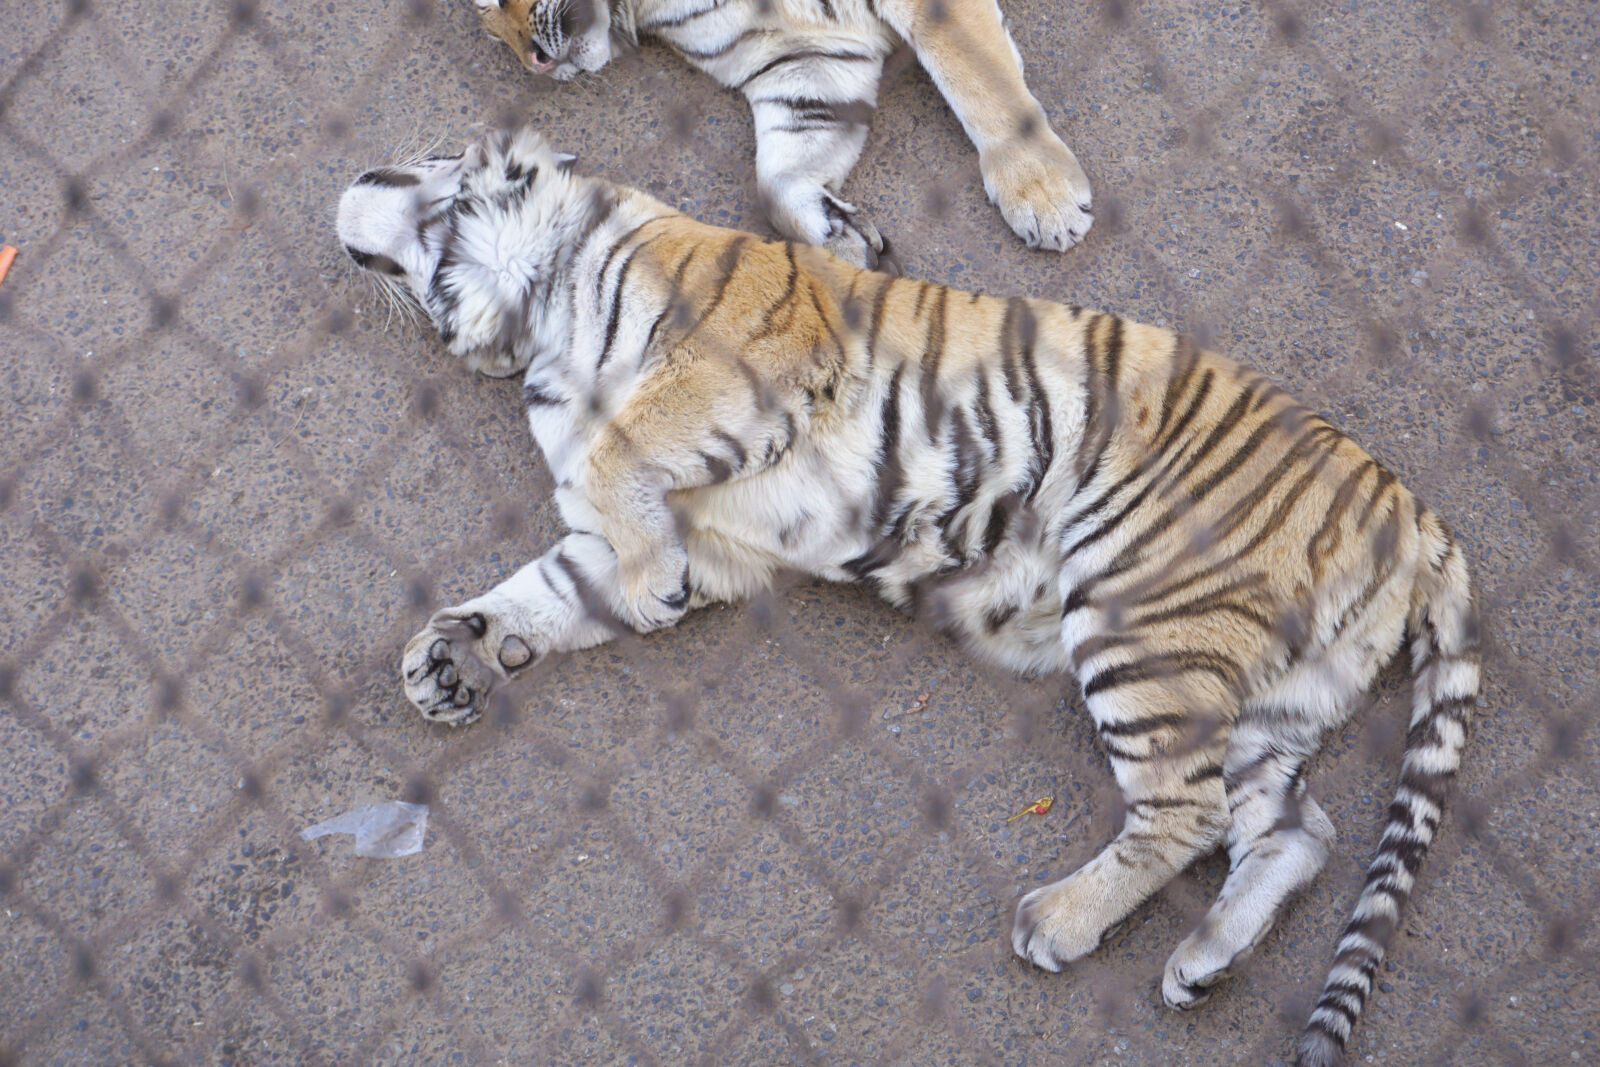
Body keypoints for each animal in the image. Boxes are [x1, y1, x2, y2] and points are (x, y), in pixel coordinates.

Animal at [335, 127, 1481, 1067]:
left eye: (426, 158)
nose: (348, 180)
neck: (535, 324)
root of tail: (1404, 501)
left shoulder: (739, 364)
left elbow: (626, 446)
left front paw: (631, 586)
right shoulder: (703, 540)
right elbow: (553, 585)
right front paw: (450, 656)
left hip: (1144, 616)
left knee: (1189, 812)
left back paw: (1057, 921)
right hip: (1248, 689)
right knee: (1296, 829)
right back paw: (1203, 959)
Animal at [470, 0, 1094, 268]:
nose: (534, 62)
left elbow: (978, 80)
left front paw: (1045, 199)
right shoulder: (802, 64)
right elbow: (774, 182)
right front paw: (836, 233)